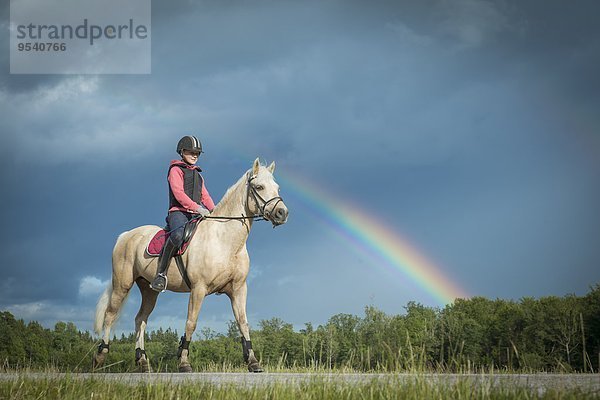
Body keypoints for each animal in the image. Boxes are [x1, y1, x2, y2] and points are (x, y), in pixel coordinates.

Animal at [93, 159, 288, 372]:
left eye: (277, 187)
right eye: (259, 187)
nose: (282, 213)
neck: (225, 241)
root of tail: (126, 235)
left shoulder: (238, 289)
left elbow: (243, 323)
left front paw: (253, 362)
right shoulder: (198, 289)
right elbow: (191, 323)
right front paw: (184, 362)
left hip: (149, 289)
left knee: (140, 320)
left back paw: (143, 361)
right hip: (122, 284)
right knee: (110, 315)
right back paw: (100, 357)